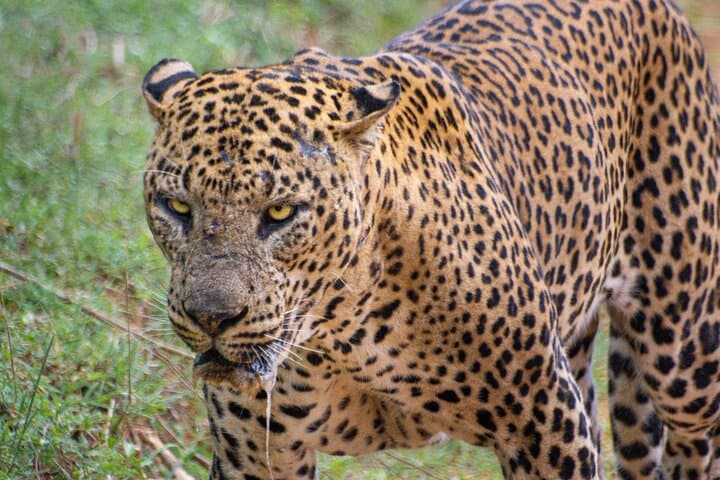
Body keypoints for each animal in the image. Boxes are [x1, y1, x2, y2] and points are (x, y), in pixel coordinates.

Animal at [140, 0, 720, 478]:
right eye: (177, 207)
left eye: (280, 213)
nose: (212, 319)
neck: (339, 333)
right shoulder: (256, 453)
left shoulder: (547, 419)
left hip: (685, 352)